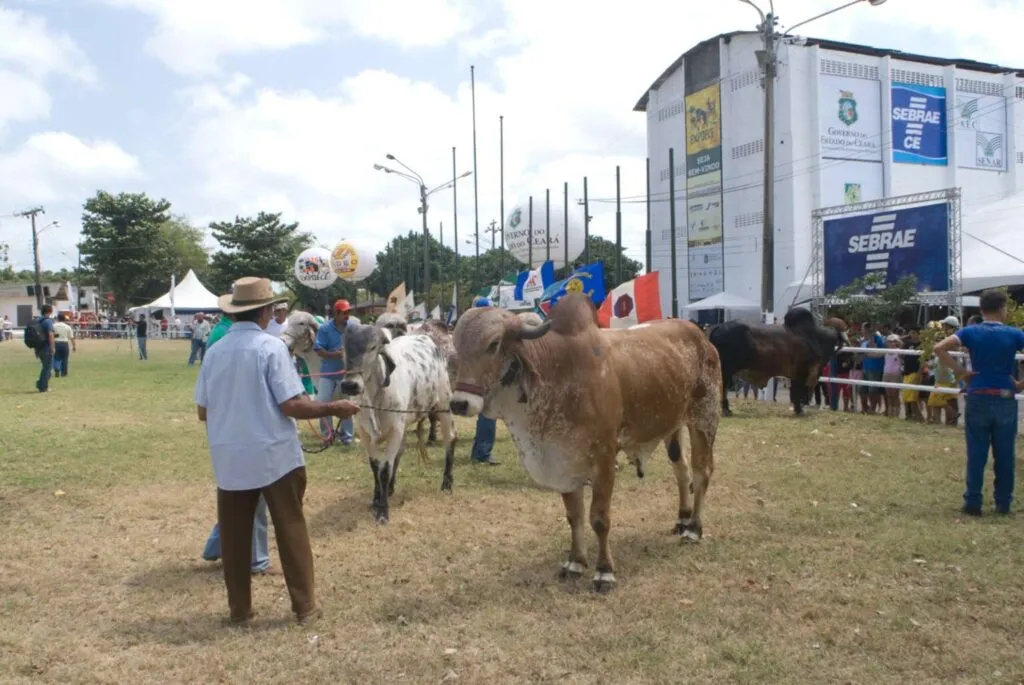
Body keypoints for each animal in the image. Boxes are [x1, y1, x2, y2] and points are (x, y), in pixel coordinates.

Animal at [448, 290, 720, 589]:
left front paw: (604, 572)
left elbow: (599, 518)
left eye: (494, 344)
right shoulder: (563, 459)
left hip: (704, 418)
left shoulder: (604, 458)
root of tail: (701, 336)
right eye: (456, 348)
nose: (459, 404)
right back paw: (682, 519)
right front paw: (576, 562)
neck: (557, 370)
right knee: (682, 471)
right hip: (672, 425)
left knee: (702, 472)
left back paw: (694, 528)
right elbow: (574, 516)